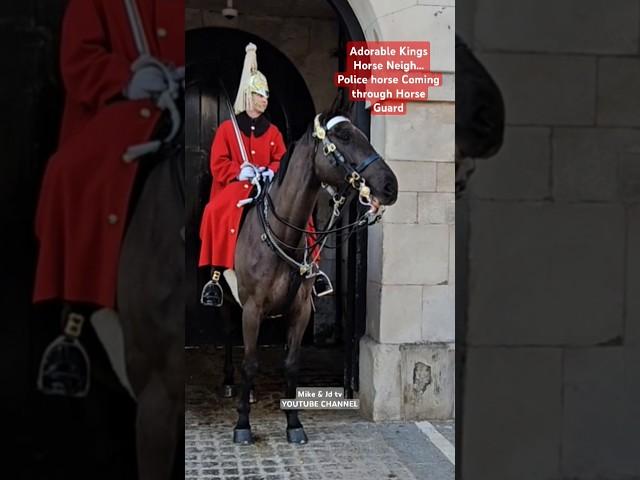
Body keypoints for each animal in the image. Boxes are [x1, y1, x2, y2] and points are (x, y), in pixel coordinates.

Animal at [218, 98, 398, 446]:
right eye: (344, 136)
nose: (390, 186)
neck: (283, 236)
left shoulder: (300, 310)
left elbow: (291, 364)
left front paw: (293, 423)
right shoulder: (252, 310)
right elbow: (250, 362)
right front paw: (242, 424)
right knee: (230, 340)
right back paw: (232, 385)